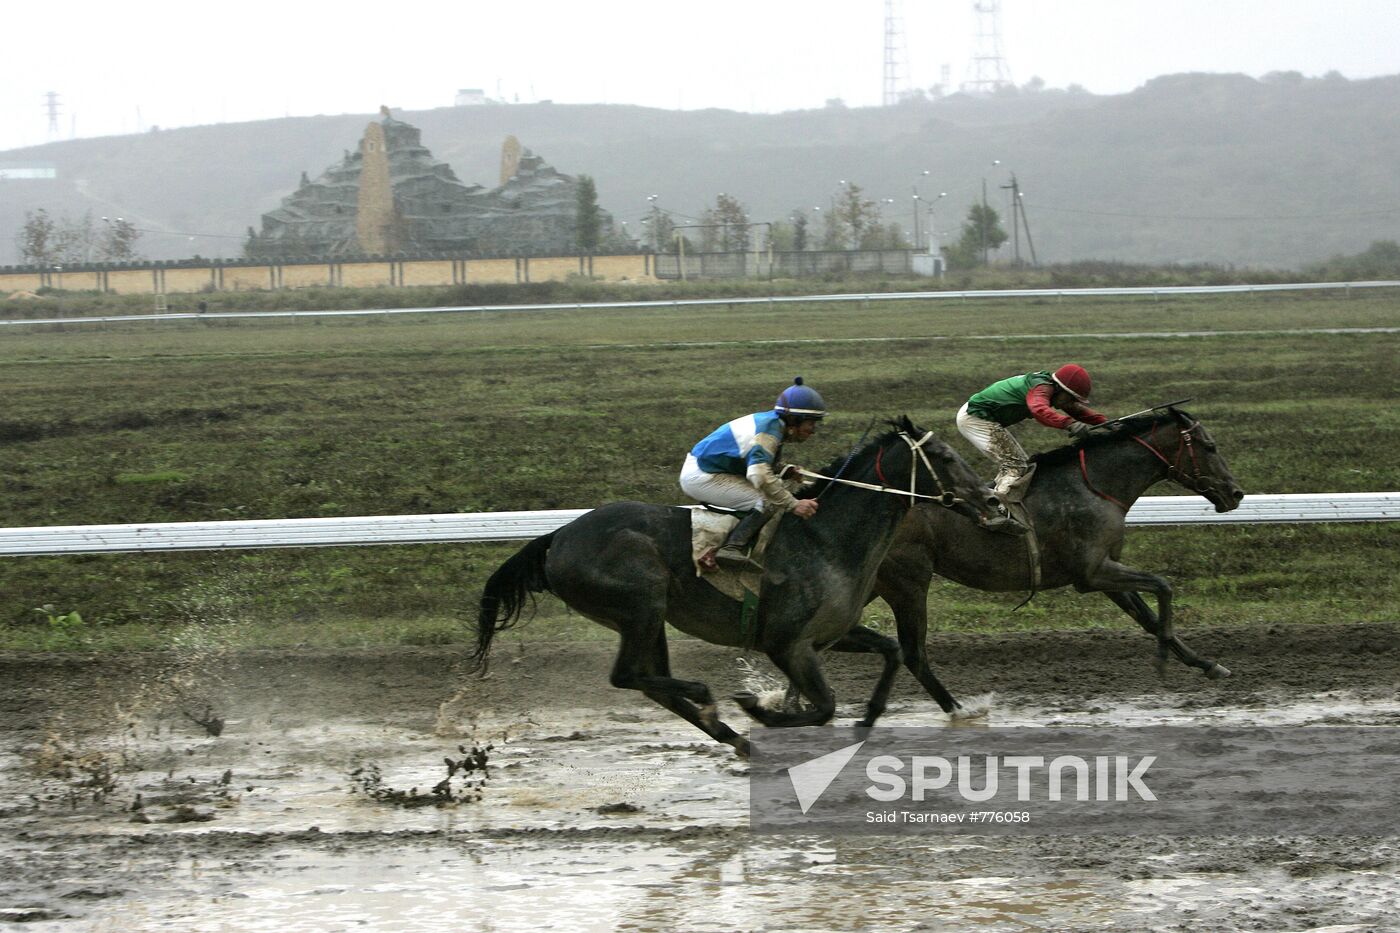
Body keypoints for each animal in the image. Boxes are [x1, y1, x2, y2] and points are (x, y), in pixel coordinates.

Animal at [476, 417, 1002, 750]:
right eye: (945, 456)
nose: (992, 500)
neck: (825, 537)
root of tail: (557, 537)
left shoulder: (830, 633)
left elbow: (891, 651)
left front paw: (866, 721)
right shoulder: (786, 643)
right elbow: (824, 705)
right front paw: (764, 711)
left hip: (650, 620)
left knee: (651, 683)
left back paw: (731, 736)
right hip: (641, 605)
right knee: (626, 676)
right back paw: (712, 701)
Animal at [873, 406, 1248, 711]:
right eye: (1210, 446)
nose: (1236, 493)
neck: (1094, 486)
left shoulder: (1106, 572)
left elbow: (1148, 617)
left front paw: (1208, 664)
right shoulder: (1092, 573)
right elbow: (1163, 586)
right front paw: (1161, 662)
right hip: (909, 584)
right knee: (914, 652)